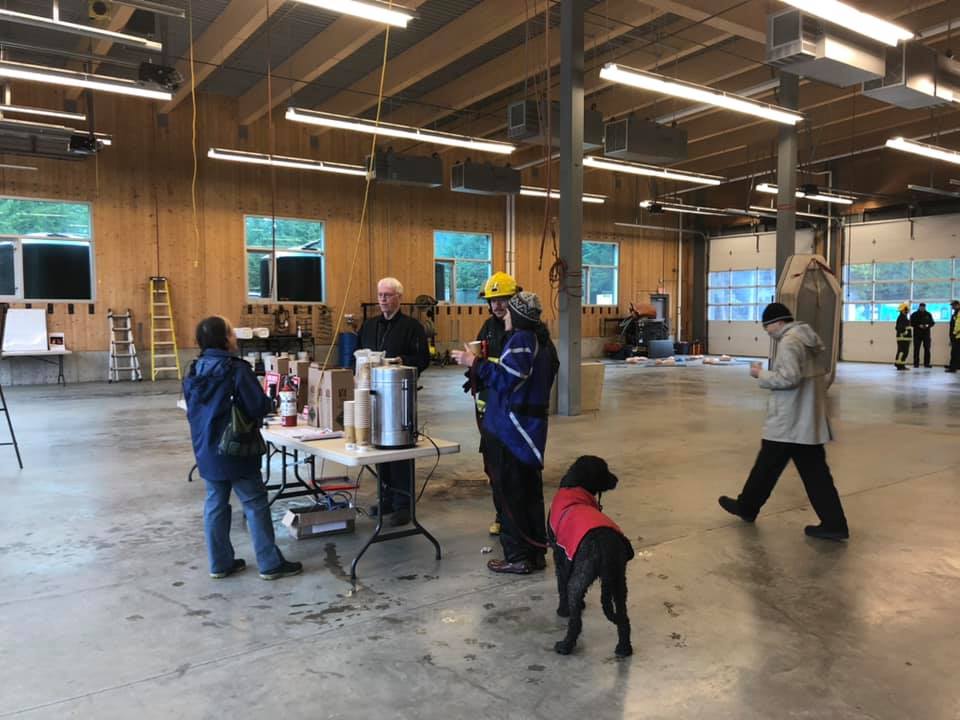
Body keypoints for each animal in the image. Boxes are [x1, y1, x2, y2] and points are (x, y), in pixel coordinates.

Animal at [544, 458, 632, 656]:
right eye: (604, 470)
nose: (616, 479)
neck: (575, 485)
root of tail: (605, 546)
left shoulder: (560, 556)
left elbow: (562, 585)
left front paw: (563, 610)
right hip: (618, 580)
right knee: (623, 617)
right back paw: (624, 648)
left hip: (581, 577)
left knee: (575, 621)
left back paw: (565, 645)